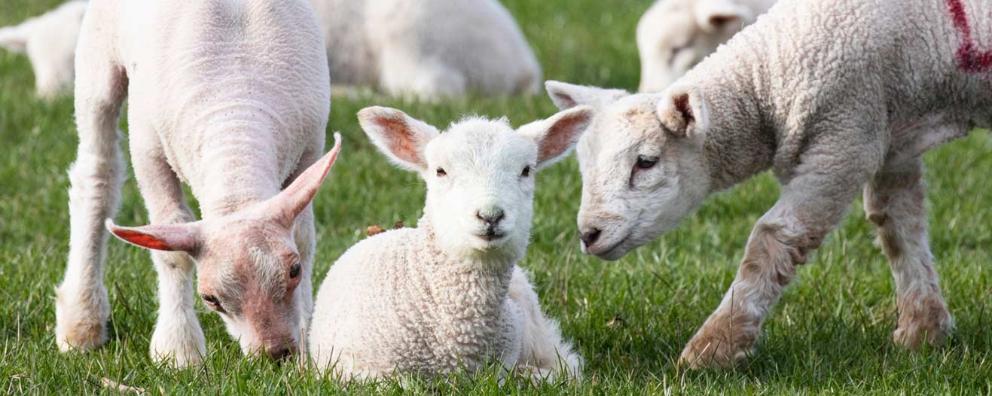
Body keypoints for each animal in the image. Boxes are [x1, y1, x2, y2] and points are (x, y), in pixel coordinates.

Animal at [59, 0, 338, 368]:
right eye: (210, 299)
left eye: (294, 271)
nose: (276, 355)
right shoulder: (148, 152)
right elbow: (172, 250)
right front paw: (179, 350)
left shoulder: (311, 146)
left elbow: (305, 238)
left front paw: (308, 354)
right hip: (98, 52)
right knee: (97, 174)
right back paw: (81, 322)